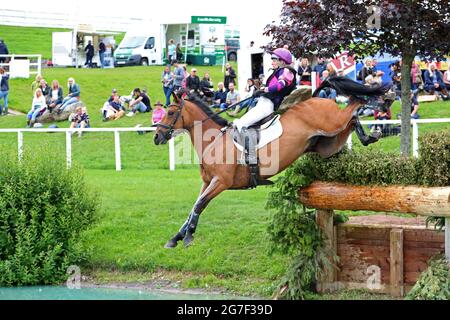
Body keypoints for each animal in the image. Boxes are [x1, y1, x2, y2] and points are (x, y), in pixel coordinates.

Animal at [153, 77, 388, 248]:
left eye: (171, 112)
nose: (157, 137)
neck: (213, 141)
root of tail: (315, 97)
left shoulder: (221, 182)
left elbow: (199, 204)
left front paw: (188, 237)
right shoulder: (208, 182)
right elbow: (194, 206)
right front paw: (177, 237)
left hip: (332, 122)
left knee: (353, 108)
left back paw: (374, 103)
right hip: (327, 143)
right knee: (352, 121)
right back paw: (369, 136)